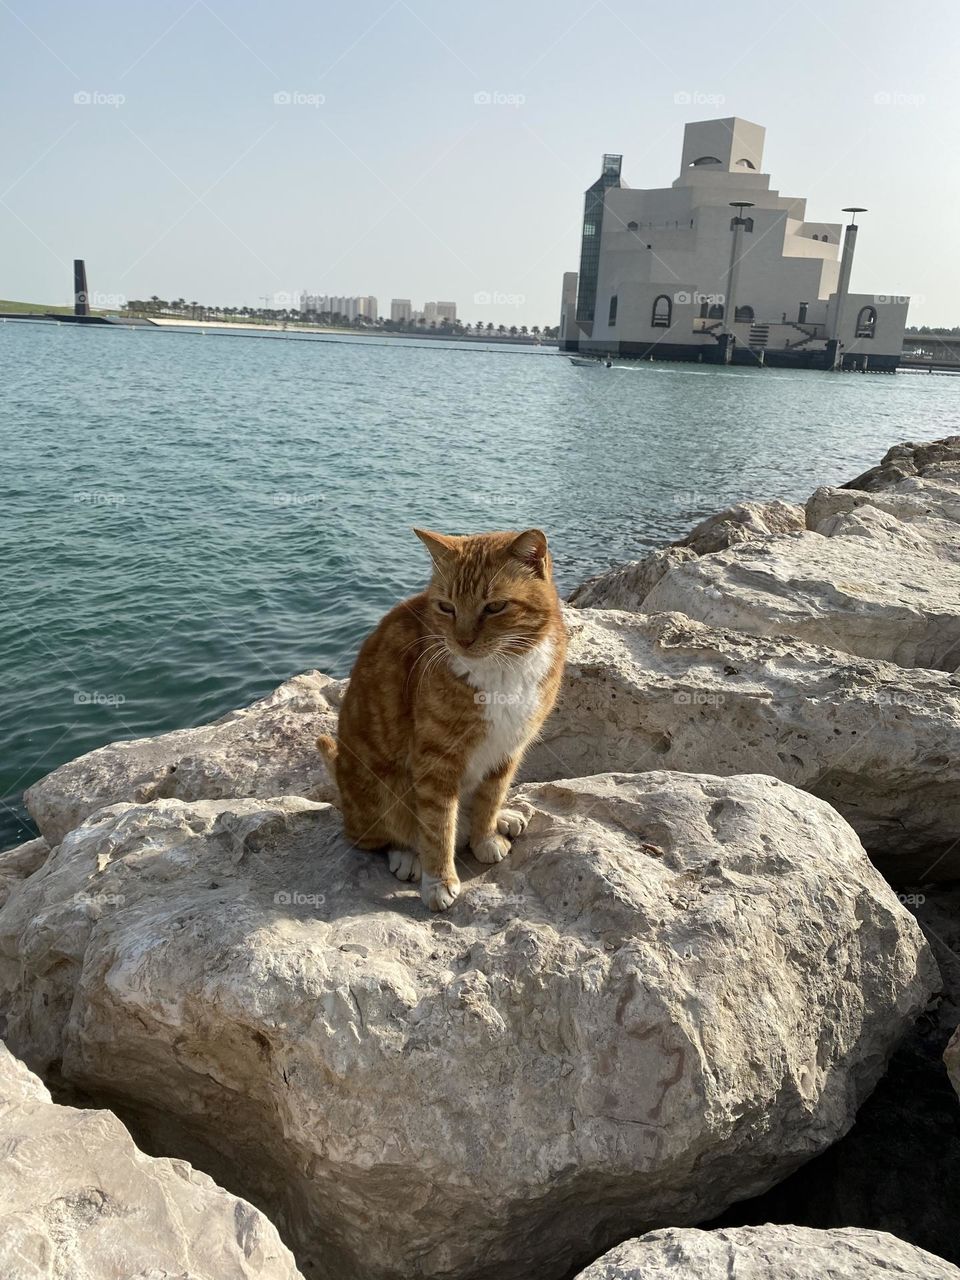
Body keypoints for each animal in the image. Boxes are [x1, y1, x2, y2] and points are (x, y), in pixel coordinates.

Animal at [320, 527, 568, 911]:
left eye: (494, 607)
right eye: (446, 607)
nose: (462, 640)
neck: (502, 670)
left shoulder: (509, 747)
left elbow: (490, 797)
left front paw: (486, 834)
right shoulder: (436, 760)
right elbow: (438, 825)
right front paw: (438, 880)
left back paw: (504, 818)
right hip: (378, 789)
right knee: (379, 836)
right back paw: (408, 856)